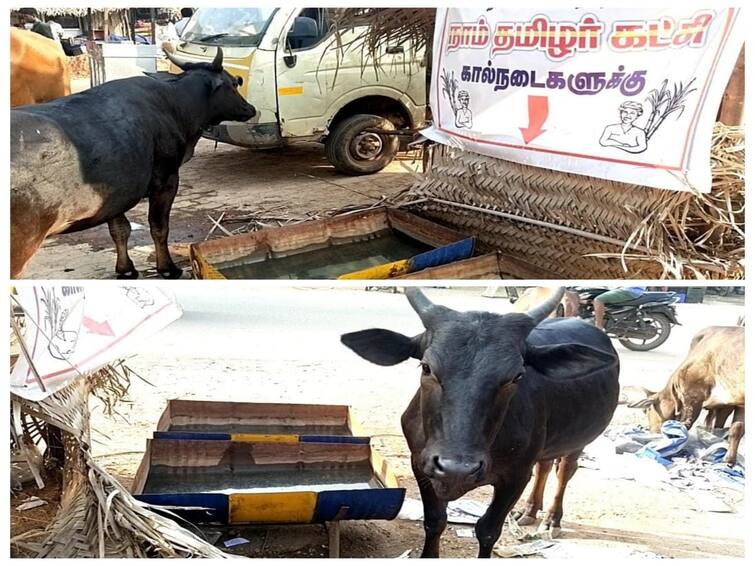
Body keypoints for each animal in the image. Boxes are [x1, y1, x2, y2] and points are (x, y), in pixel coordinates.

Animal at [11, 48, 256, 280]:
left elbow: (120, 230)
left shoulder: (117, 193)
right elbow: (159, 227)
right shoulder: (166, 180)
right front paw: (168, 269)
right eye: (233, 83)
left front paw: (126, 269)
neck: (174, 104)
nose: (250, 108)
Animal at [342, 288, 620, 560]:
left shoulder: (516, 477)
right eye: (426, 367)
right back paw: (529, 512)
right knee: (545, 465)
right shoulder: (420, 464)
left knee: (564, 471)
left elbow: (487, 530)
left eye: (517, 376)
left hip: (579, 440)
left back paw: (551, 519)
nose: (458, 469)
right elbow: (434, 521)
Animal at [628, 328, 744, 466]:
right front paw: (729, 459)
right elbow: (735, 429)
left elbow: (684, 426)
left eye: (647, 410)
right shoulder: (735, 404)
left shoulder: (693, 398)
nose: (652, 431)